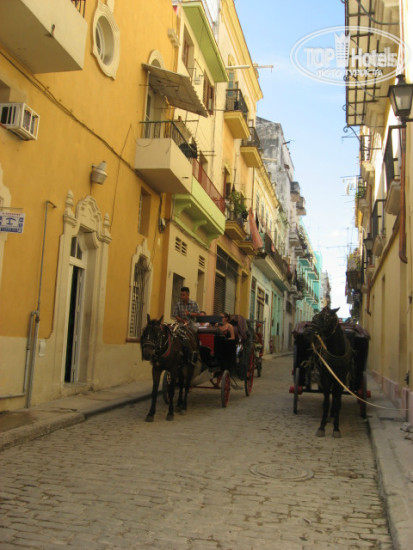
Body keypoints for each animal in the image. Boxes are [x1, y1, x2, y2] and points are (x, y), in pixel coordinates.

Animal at [305, 306, 353, 438]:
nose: (308, 332)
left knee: (336, 397)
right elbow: (326, 402)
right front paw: (322, 427)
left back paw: (332, 416)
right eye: (315, 317)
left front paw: (336, 428)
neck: (336, 352)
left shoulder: (340, 380)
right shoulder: (326, 379)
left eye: (326, 319)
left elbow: (338, 403)